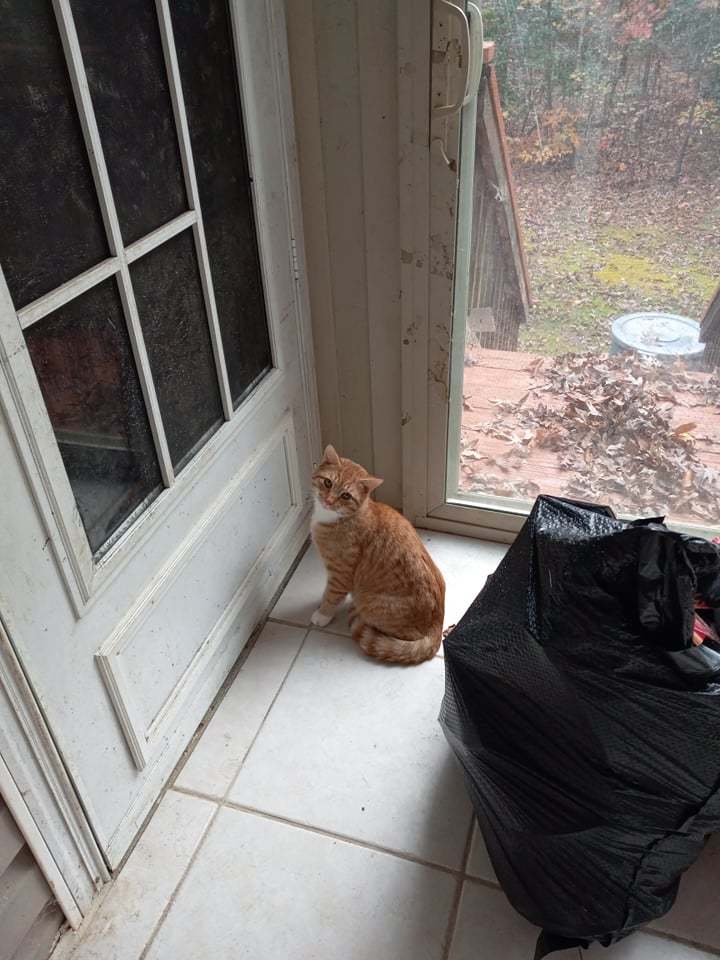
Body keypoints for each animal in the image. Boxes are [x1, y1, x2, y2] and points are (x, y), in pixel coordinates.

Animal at [310, 446, 444, 664]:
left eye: (346, 496)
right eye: (328, 482)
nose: (328, 501)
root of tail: (437, 627)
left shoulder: (341, 573)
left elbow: (332, 594)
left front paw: (323, 614)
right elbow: (327, 591)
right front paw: (321, 602)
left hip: (371, 604)